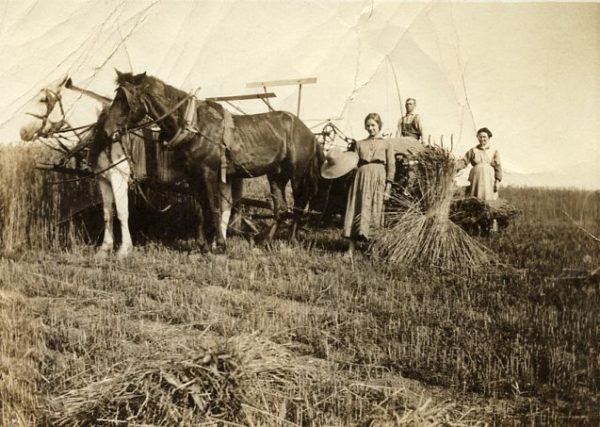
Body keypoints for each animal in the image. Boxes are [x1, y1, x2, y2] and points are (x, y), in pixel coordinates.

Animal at [102, 71, 324, 251]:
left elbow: (214, 208)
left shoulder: (209, 174)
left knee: (299, 203)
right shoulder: (193, 177)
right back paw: (266, 241)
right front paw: (201, 245)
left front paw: (220, 244)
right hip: (276, 175)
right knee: (280, 208)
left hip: (297, 175)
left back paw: (291, 239)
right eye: (116, 95)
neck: (194, 126)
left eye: (126, 98)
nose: (106, 130)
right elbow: (201, 210)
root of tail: (308, 132)